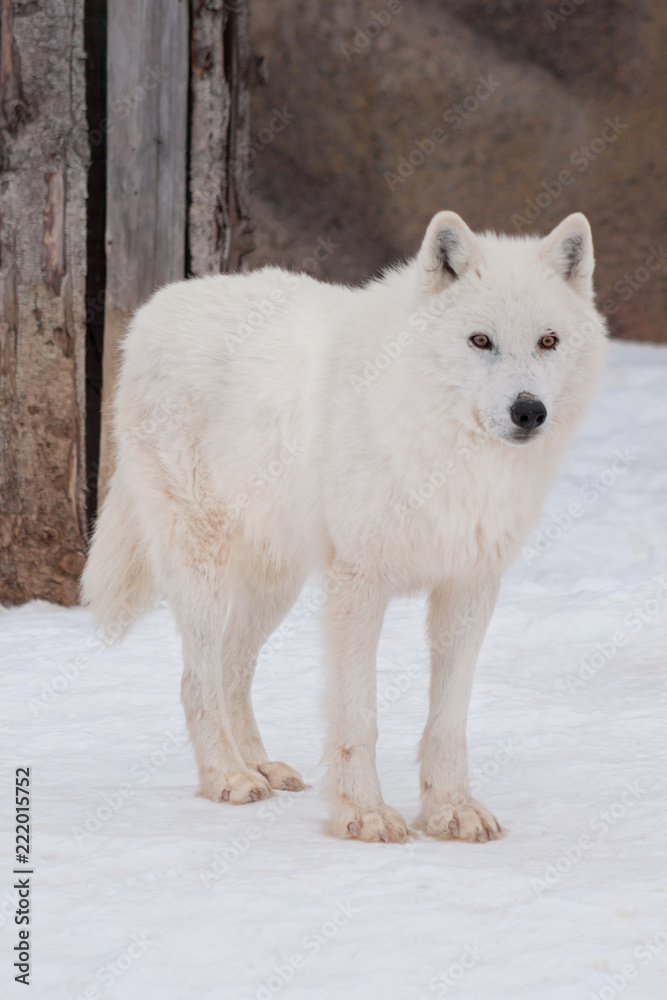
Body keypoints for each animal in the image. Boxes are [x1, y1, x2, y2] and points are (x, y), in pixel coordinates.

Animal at [82, 211, 607, 843]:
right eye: (481, 341)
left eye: (548, 341)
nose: (528, 411)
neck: (449, 459)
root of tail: (156, 307)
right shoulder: (359, 585)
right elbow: (359, 717)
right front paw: (364, 814)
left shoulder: (469, 587)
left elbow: (448, 720)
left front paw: (450, 810)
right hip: (202, 565)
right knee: (196, 679)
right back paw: (228, 778)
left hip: (275, 583)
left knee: (233, 667)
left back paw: (260, 766)